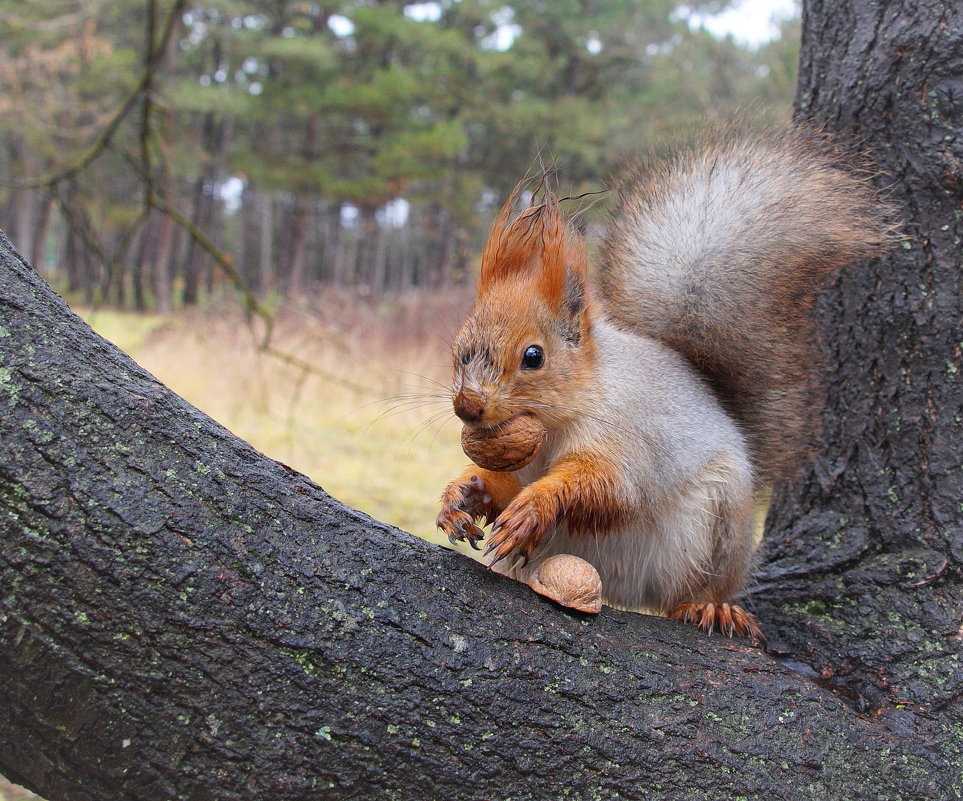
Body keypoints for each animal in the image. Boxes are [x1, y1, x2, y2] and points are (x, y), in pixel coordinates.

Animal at [436, 126, 888, 636]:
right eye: (458, 352)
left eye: (534, 356)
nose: (467, 405)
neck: (556, 422)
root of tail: (624, 591)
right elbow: (502, 486)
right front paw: (462, 495)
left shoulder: (630, 440)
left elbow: (605, 488)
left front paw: (536, 506)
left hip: (718, 527)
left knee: (688, 593)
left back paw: (710, 607)